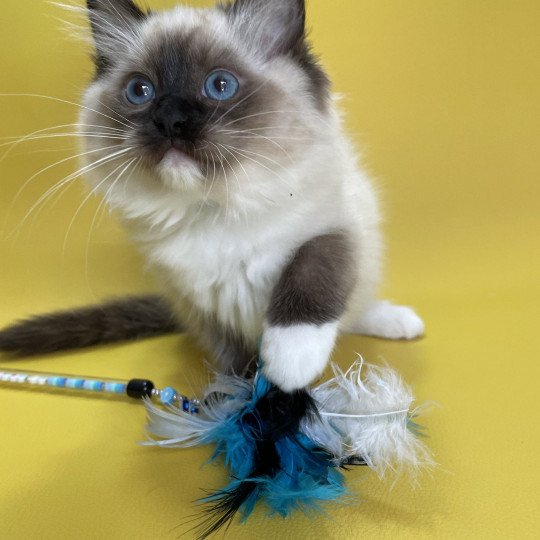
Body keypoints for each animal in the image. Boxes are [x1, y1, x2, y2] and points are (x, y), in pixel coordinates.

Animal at [0, 2, 426, 394]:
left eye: (220, 85)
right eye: (140, 91)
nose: (171, 120)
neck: (211, 210)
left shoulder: (333, 227)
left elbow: (312, 277)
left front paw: (289, 365)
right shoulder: (202, 305)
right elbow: (233, 357)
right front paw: (238, 400)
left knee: (355, 306)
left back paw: (400, 322)